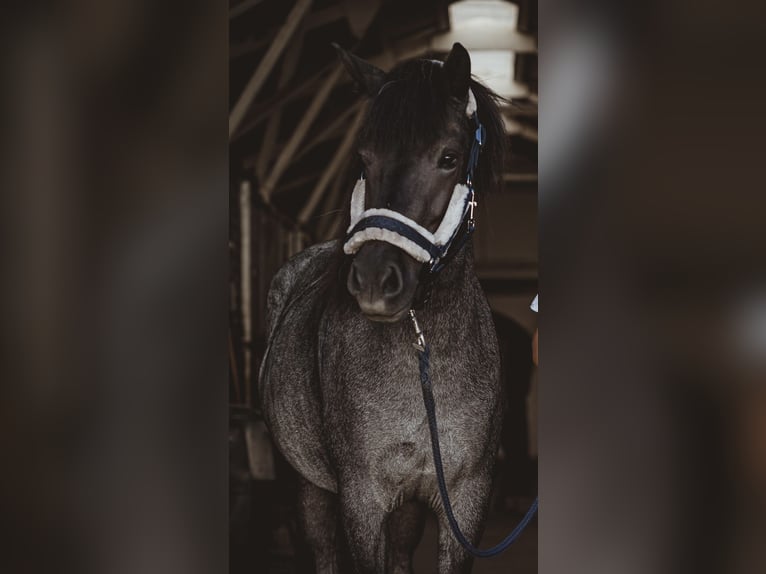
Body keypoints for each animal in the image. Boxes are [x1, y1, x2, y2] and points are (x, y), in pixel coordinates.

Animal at [259, 42, 508, 573]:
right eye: (363, 156)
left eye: (449, 157)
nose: (374, 280)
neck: (422, 351)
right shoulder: (362, 499)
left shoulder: (466, 502)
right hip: (308, 489)